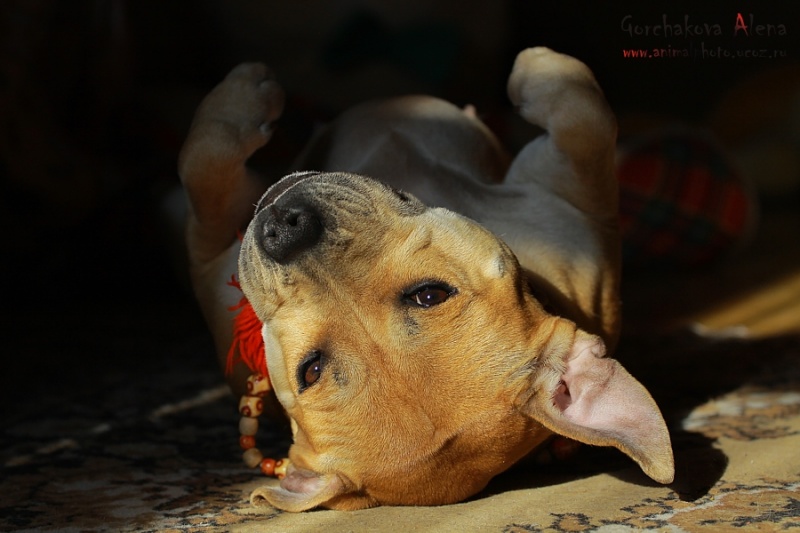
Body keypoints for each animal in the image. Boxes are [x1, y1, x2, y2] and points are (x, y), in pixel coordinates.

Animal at [178, 47, 674, 512]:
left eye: (429, 294)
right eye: (311, 370)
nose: (285, 229)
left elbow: (581, 112)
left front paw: (534, 68)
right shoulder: (212, 262)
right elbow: (204, 161)